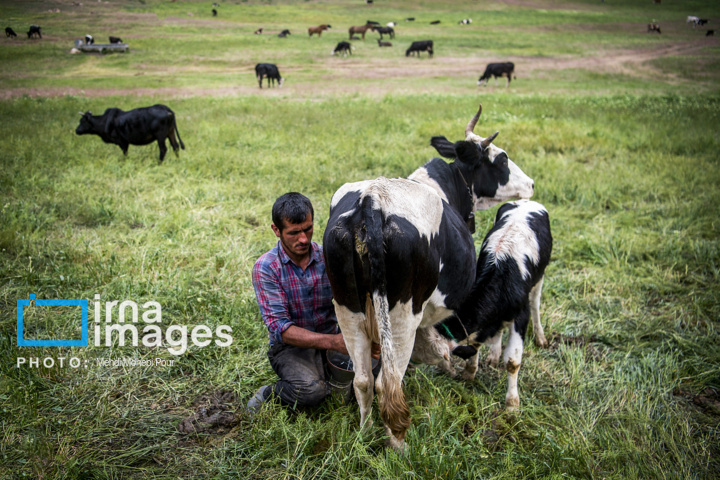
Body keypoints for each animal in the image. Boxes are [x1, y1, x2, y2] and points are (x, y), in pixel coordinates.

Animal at [324, 104, 536, 450]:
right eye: (502, 159)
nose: (530, 184)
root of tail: (372, 200)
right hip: (402, 315)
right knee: (388, 383)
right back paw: (398, 445)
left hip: (347, 307)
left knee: (364, 380)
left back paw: (365, 433)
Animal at [416, 201, 552, 410]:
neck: (501, 273)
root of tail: (527, 202)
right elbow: (476, 343)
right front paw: (470, 371)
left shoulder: (520, 316)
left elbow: (513, 361)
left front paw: (512, 404)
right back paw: (494, 355)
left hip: (540, 278)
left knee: (536, 304)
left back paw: (540, 337)